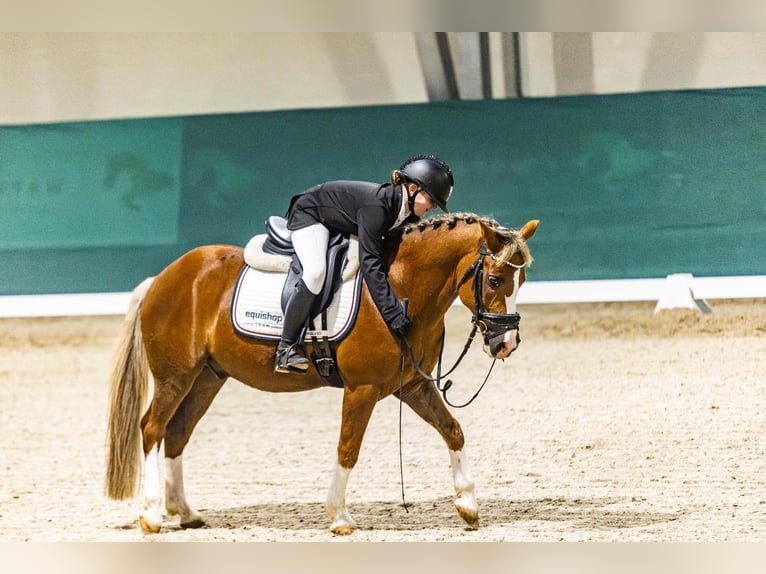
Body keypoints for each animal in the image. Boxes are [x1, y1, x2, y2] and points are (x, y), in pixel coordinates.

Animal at [105, 212, 539, 535]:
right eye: (495, 279)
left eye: (522, 280)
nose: (506, 343)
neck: (400, 285)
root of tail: (165, 277)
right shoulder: (363, 389)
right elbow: (348, 448)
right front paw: (339, 516)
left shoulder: (413, 385)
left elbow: (453, 430)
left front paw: (468, 504)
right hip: (176, 376)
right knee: (152, 429)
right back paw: (152, 515)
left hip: (208, 378)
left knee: (177, 433)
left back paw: (185, 512)